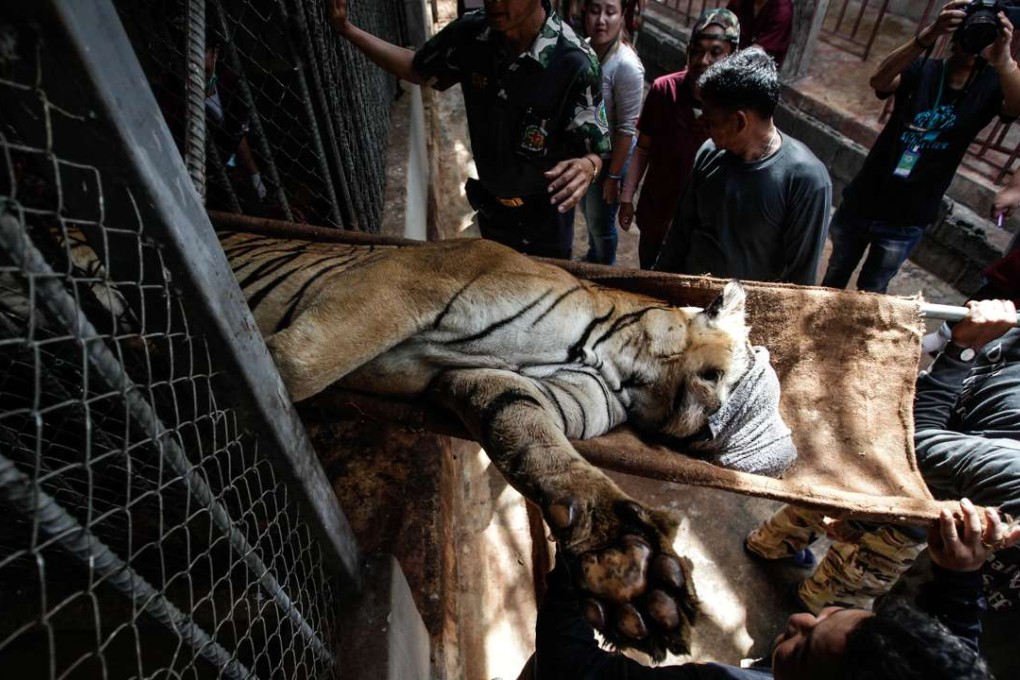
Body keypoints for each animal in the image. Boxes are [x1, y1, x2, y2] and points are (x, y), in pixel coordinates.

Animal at [220, 231, 764, 661]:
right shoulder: (405, 282)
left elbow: (535, 446)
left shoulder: (493, 383)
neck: (620, 371)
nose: (727, 438)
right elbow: (290, 369)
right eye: (739, 376)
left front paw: (627, 568)